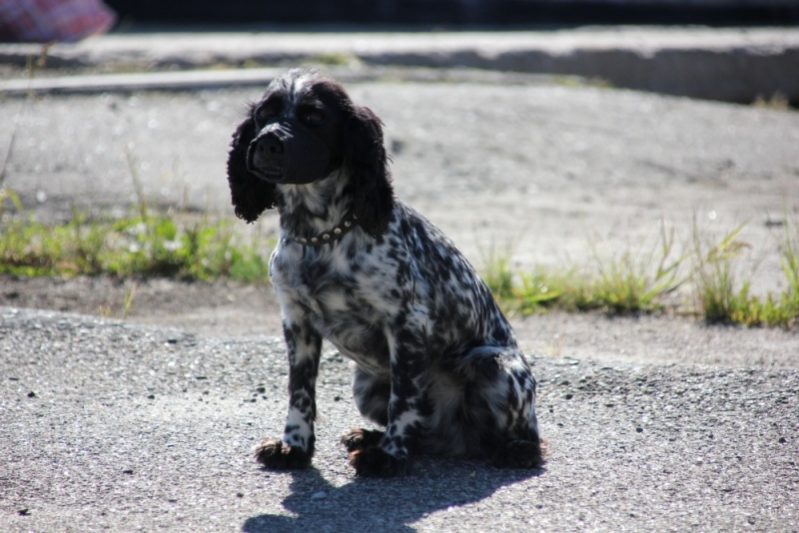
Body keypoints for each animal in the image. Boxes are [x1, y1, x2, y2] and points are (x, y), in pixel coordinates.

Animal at [226, 69, 542, 477]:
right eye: (265, 113)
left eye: (314, 116)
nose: (266, 143)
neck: (319, 236)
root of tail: (459, 440)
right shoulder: (297, 323)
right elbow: (300, 393)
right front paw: (294, 447)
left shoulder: (406, 323)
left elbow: (404, 400)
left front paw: (389, 457)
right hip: (366, 384)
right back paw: (369, 436)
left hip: (494, 365)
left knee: (528, 438)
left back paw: (514, 450)